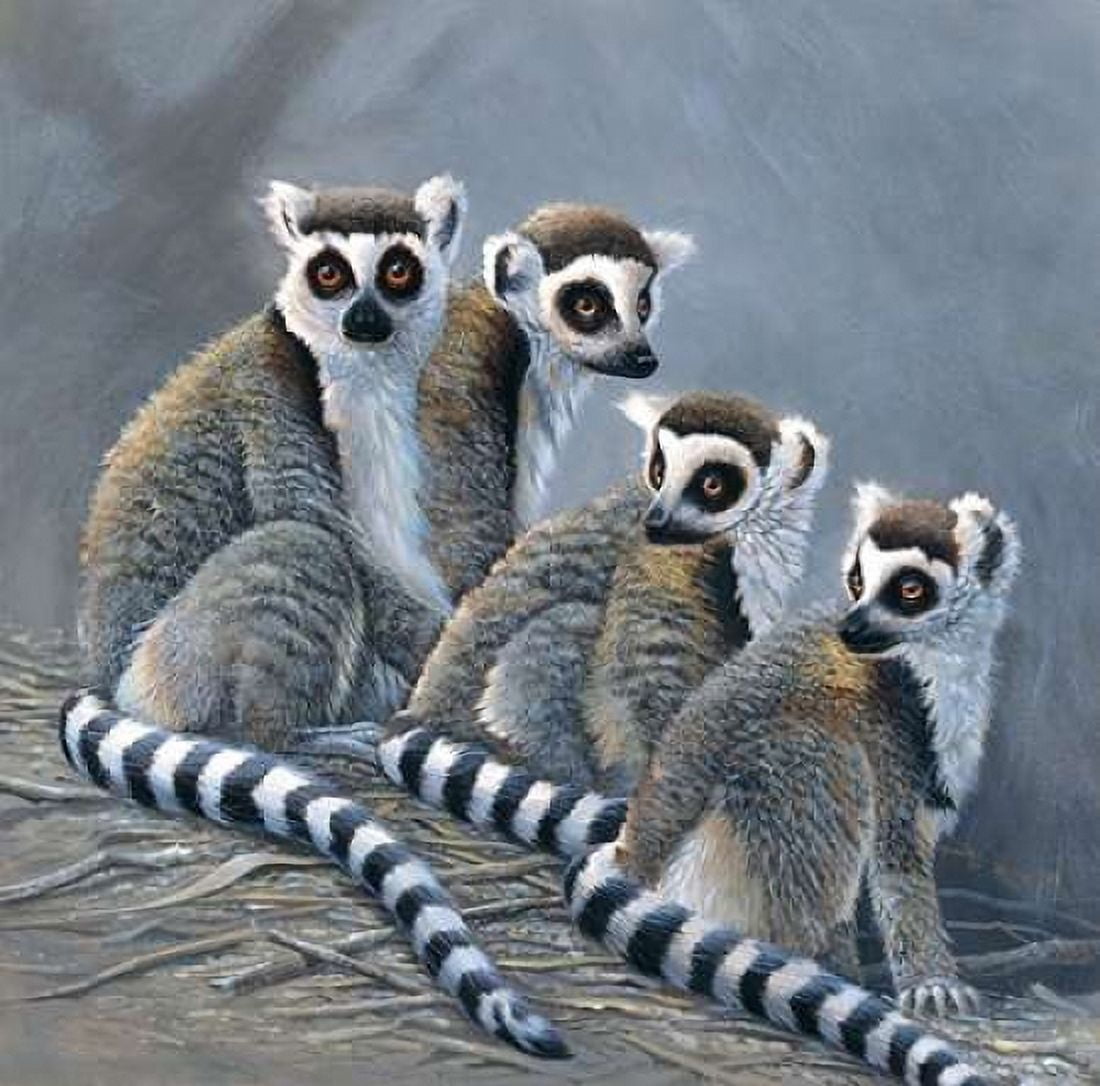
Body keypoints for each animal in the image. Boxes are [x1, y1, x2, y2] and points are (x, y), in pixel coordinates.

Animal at [612, 484, 1021, 1020]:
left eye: (910, 589)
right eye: (857, 578)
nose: (852, 627)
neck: (931, 658)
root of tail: (641, 844)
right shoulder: (887, 710)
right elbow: (898, 850)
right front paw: (931, 979)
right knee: (828, 757)